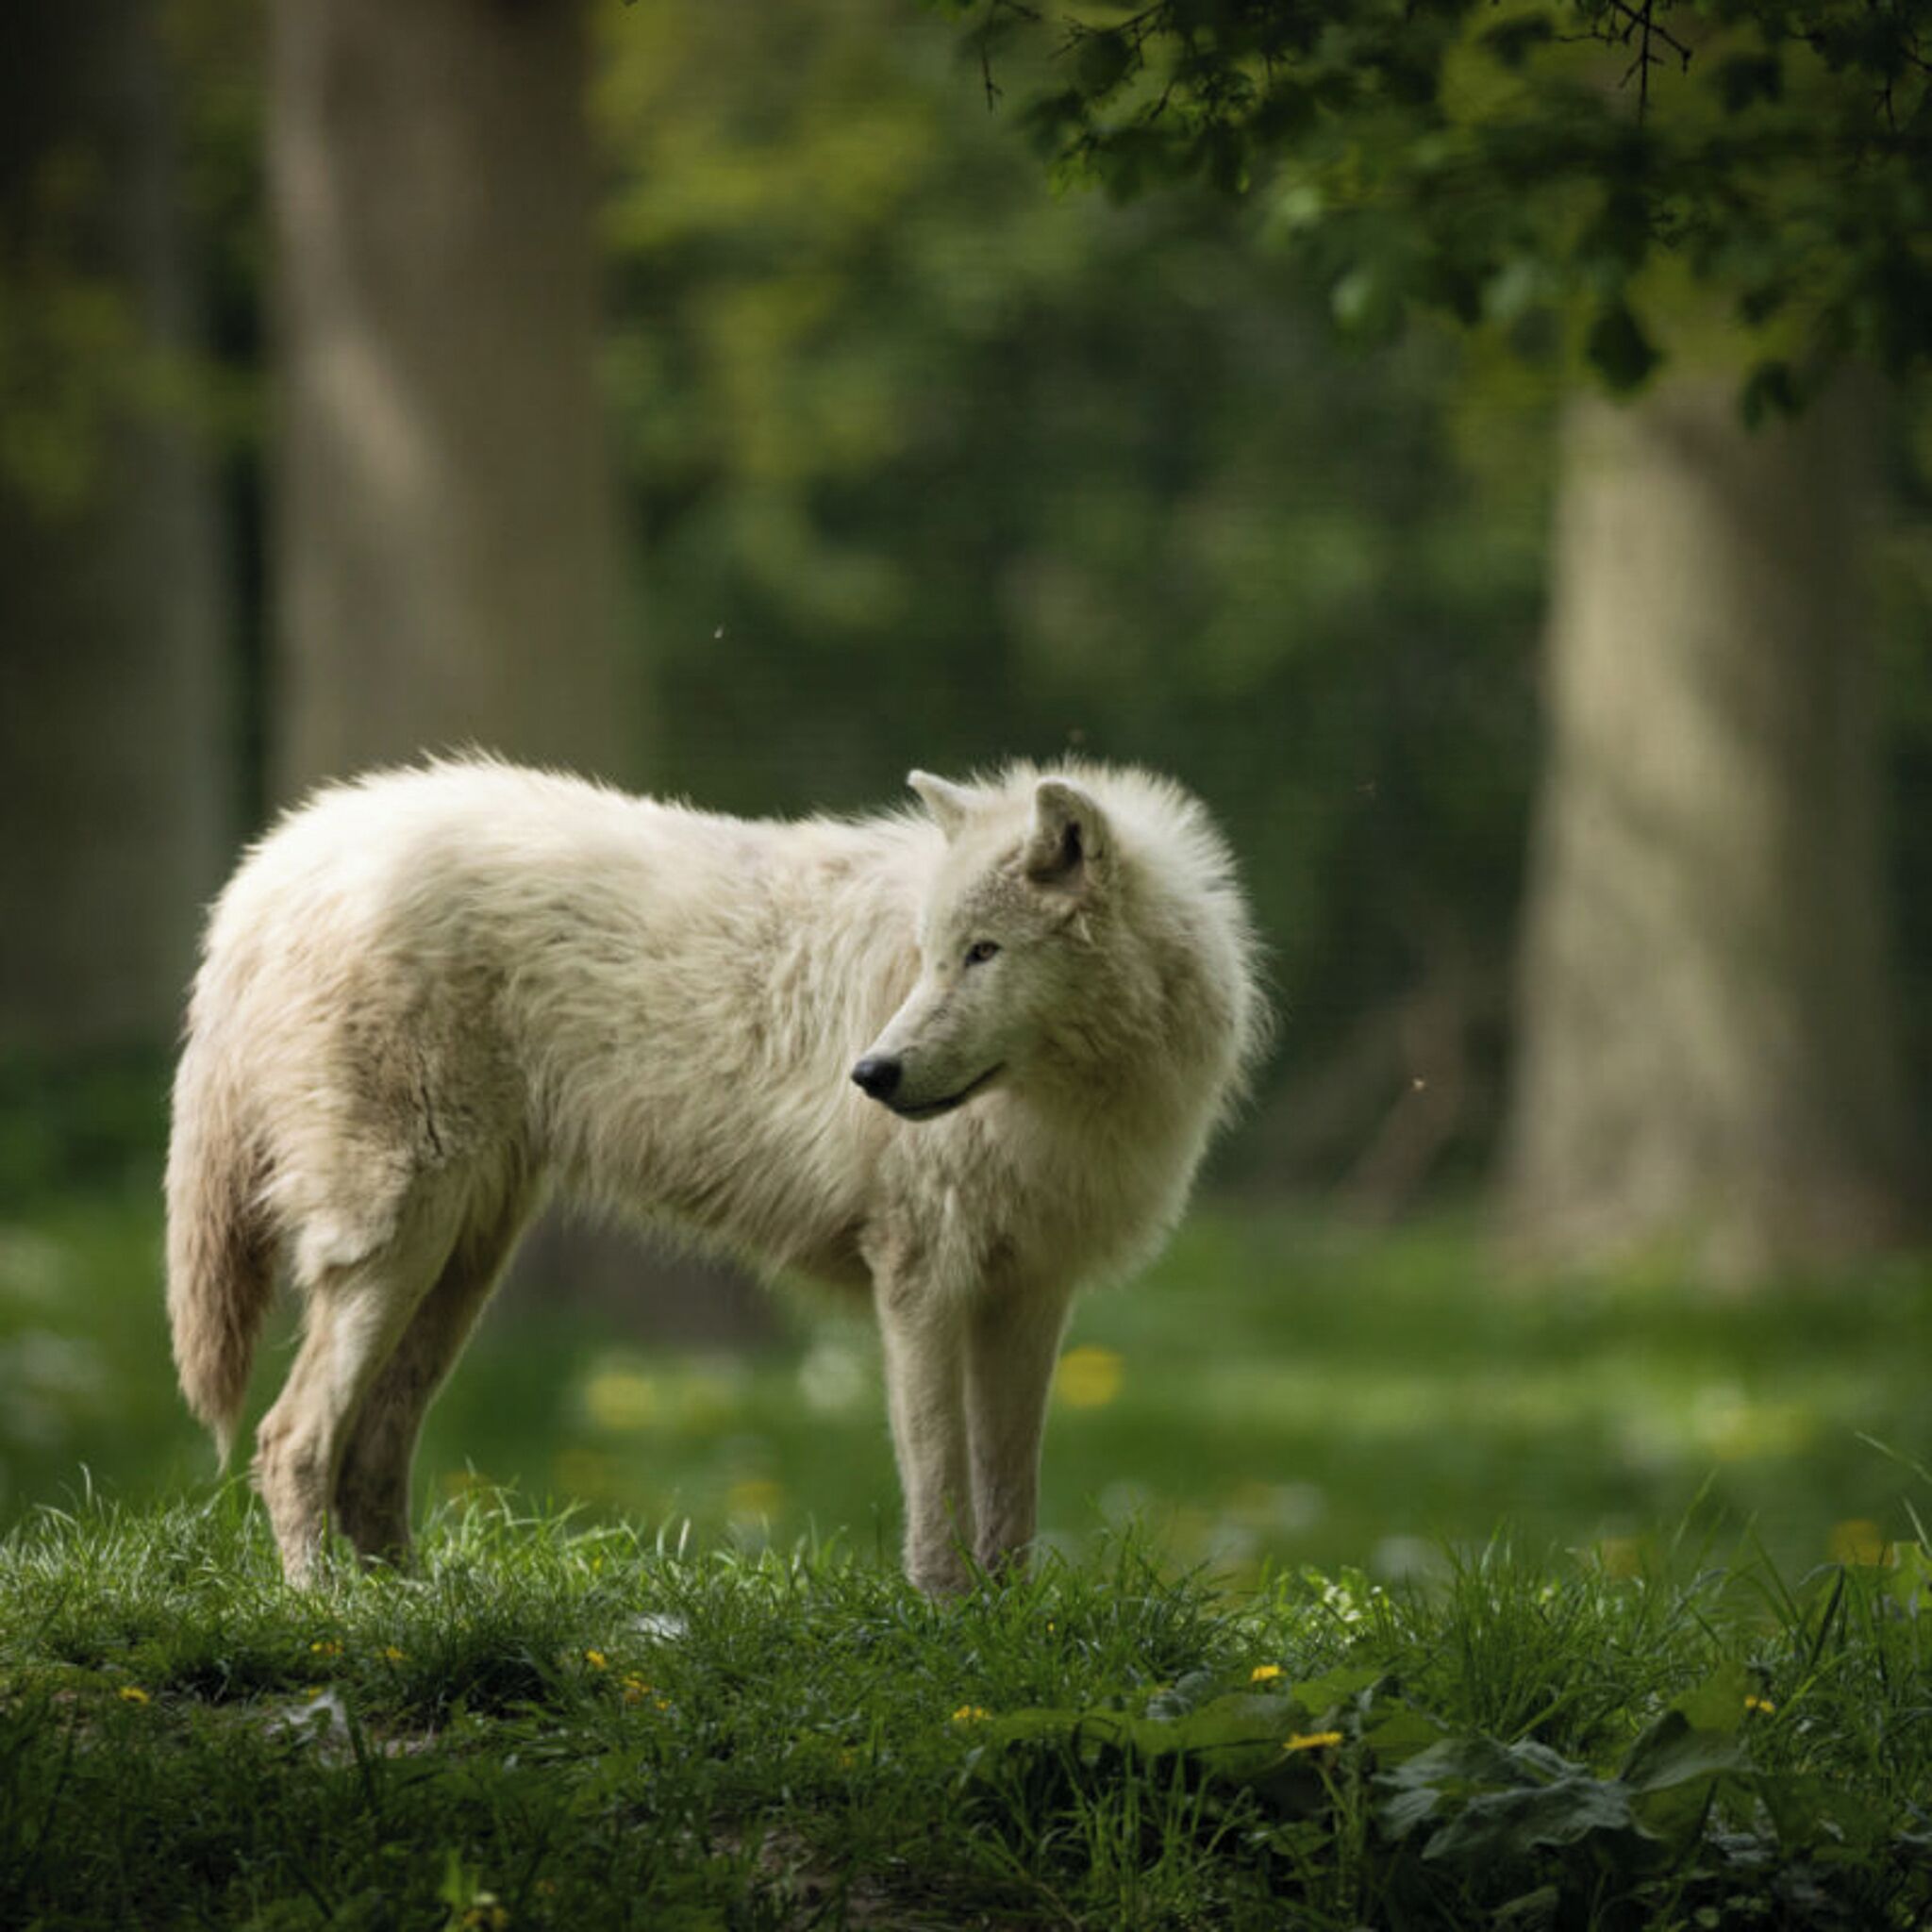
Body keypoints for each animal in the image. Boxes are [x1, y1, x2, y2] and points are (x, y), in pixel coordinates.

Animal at [166, 758, 1266, 1592]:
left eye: (983, 954)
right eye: (930, 957)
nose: (871, 1074)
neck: (1066, 1103)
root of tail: (284, 856)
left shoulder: (1029, 1296)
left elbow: (1010, 1499)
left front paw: (1011, 1626)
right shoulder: (917, 1281)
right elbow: (937, 1489)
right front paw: (946, 1618)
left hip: (460, 1267)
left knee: (371, 1452)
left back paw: (413, 1606)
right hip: (398, 1244)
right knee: (290, 1438)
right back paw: (332, 1612)